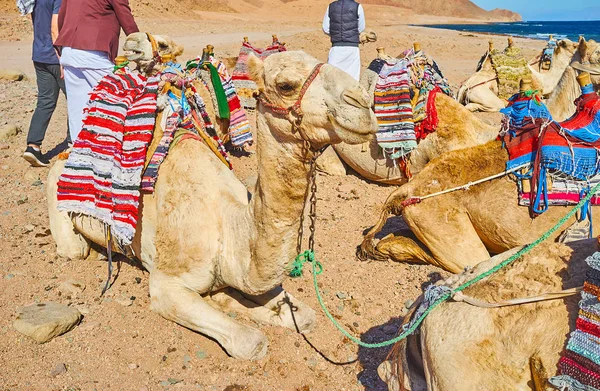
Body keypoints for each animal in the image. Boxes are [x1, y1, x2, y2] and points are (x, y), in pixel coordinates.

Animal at [48, 45, 376, 358]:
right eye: (285, 85)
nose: (362, 103)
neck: (227, 229)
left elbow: (304, 315)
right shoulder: (166, 284)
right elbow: (250, 342)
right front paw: (227, 303)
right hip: (59, 192)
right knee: (74, 246)